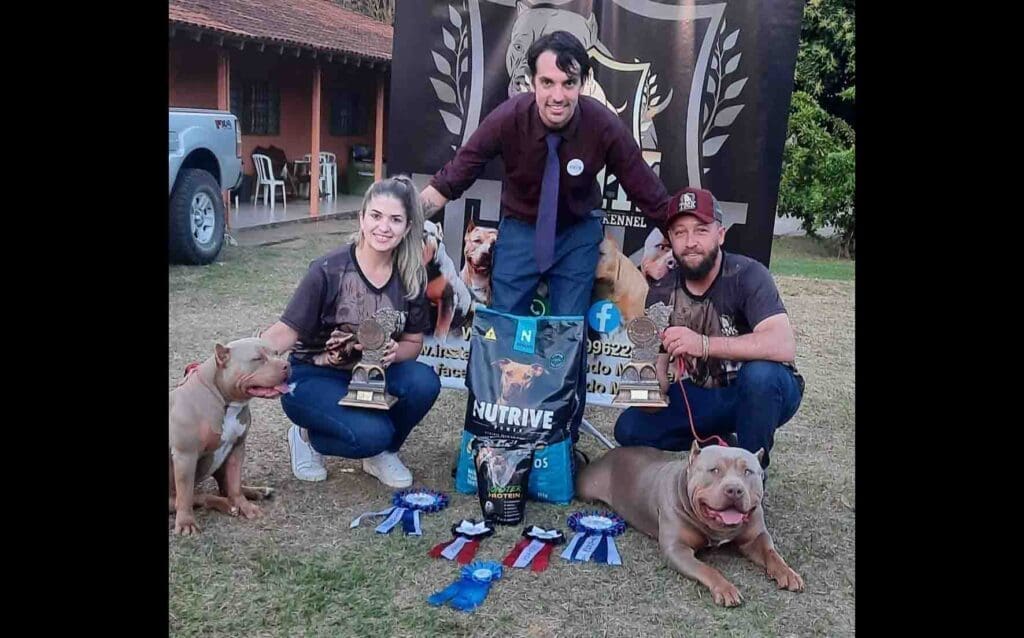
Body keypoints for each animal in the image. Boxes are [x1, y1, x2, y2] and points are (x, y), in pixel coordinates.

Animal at [165, 337, 290, 536]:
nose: (287, 365)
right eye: (257, 359)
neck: (223, 399)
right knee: (196, 497)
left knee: (225, 488)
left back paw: (254, 492)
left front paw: (245, 506)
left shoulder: (237, 447)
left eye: (276, 353)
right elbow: (185, 495)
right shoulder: (186, 455)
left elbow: (235, 484)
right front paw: (186, 523)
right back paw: (225, 505)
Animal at [581, 442, 802, 606]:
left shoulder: (755, 538)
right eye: (714, 470)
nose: (734, 489)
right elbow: (707, 569)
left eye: (748, 471)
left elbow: (771, 553)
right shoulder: (677, 549)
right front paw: (725, 588)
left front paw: (787, 572)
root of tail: (613, 451)